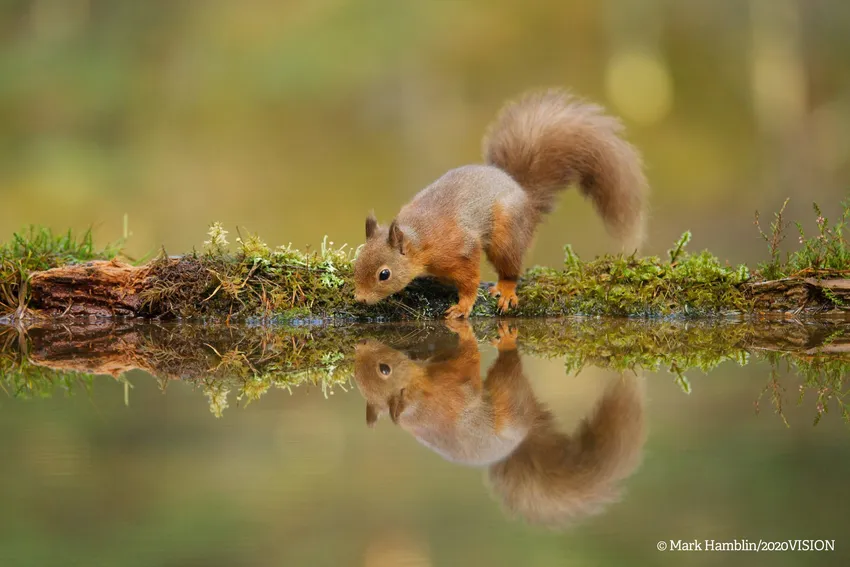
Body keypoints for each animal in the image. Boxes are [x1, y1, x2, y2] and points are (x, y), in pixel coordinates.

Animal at [353, 88, 648, 318]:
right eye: (357, 261)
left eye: (384, 274)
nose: (360, 299)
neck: (419, 239)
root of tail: (524, 194)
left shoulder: (461, 249)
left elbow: (470, 280)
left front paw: (463, 305)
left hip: (506, 236)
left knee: (511, 269)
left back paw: (506, 288)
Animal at [353, 321, 646, 528]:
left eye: (383, 369)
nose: (361, 345)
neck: (416, 399)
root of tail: (525, 435)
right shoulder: (449, 392)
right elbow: (465, 368)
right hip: (510, 396)